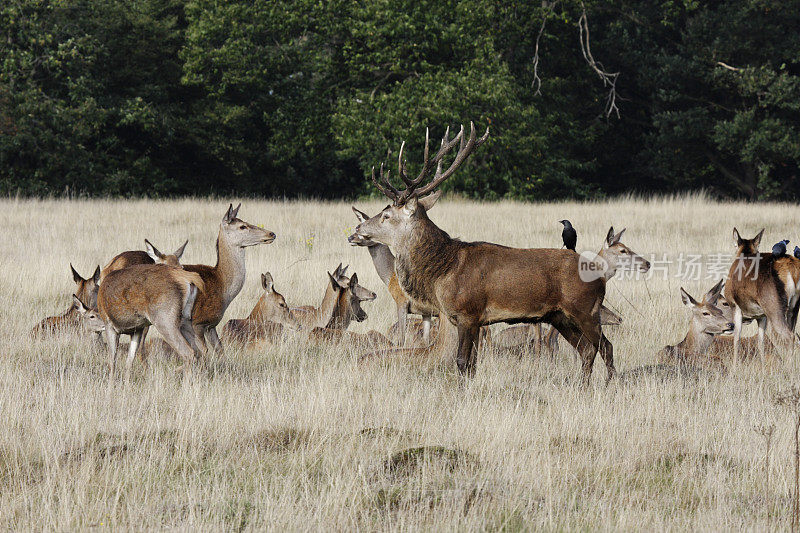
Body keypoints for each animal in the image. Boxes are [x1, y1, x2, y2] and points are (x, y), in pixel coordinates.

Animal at [352, 123, 648, 382]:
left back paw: (608, 385)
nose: (358, 228)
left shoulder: (468, 313)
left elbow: (462, 362)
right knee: (587, 349)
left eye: (386, 215)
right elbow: (471, 364)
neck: (443, 270)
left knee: (605, 347)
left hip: (586, 308)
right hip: (560, 316)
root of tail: (600, 275)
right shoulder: (467, 319)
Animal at [724, 229, 800, 362]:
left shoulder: (735, 307)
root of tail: (793, 270)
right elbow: (761, 342)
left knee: (789, 336)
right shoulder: (761, 316)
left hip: (774, 307)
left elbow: (736, 339)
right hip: (793, 307)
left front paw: (734, 366)